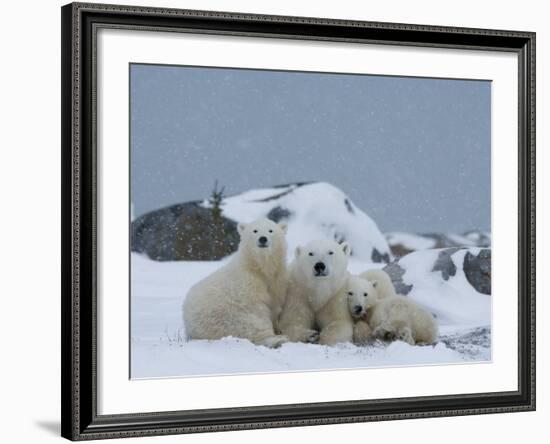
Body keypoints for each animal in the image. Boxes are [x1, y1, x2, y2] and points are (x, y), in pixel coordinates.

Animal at [183, 218, 292, 346]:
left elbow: (274, 304)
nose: (263, 239)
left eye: (271, 230)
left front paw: (278, 328)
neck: (259, 268)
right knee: (247, 324)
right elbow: (258, 310)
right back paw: (277, 340)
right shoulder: (248, 283)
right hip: (222, 317)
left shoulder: (277, 280)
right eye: (255, 230)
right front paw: (275, 334)